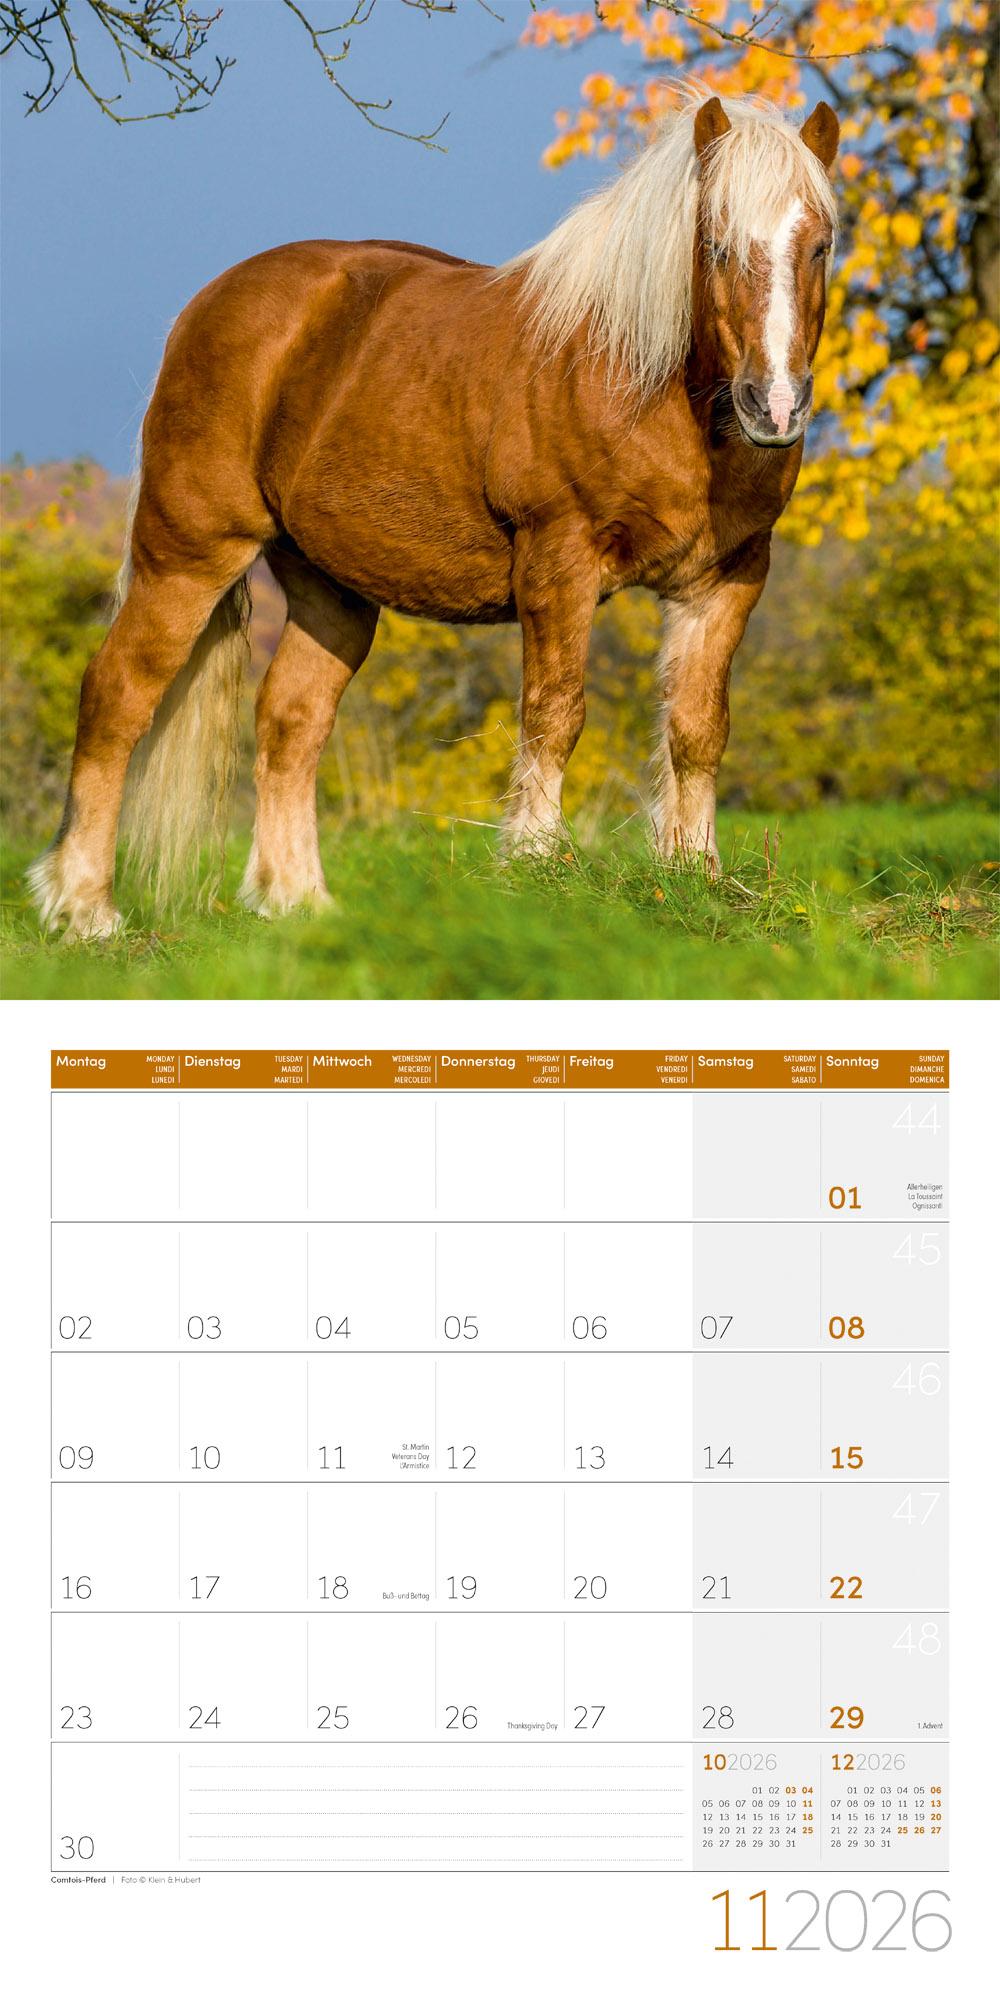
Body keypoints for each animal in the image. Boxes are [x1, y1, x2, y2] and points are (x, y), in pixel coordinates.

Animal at [29, 89, 839, 937]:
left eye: (820, 245)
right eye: (716, 245)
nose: (774, 405)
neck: (643, 381)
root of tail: (209, 307)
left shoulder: (723, 582)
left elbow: (698, 728)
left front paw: (692, 876)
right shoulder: (559, 565)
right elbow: (554, 715)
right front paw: (532, 865)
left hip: (329, 589)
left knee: (290, 721)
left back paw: (298, 902)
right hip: (188, 555)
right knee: (117, 694)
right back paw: (83, 908)